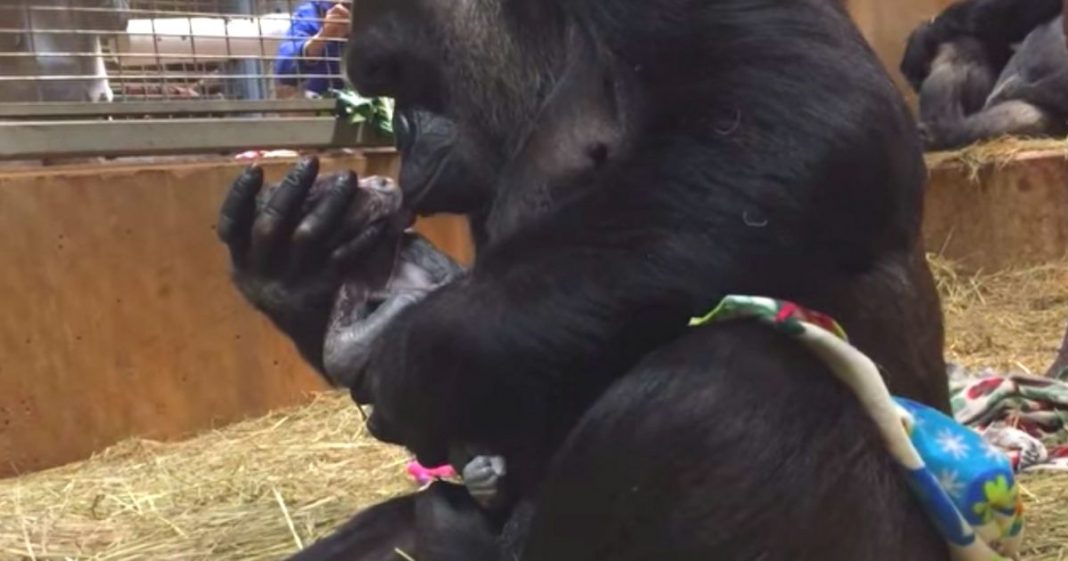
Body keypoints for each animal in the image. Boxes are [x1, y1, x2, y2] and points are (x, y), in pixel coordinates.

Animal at [218, 0, 952, 555]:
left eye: (394, 71)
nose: (399, 130)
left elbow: (805, 120)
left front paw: (418, 357)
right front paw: (299, 274)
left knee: (726, 389)